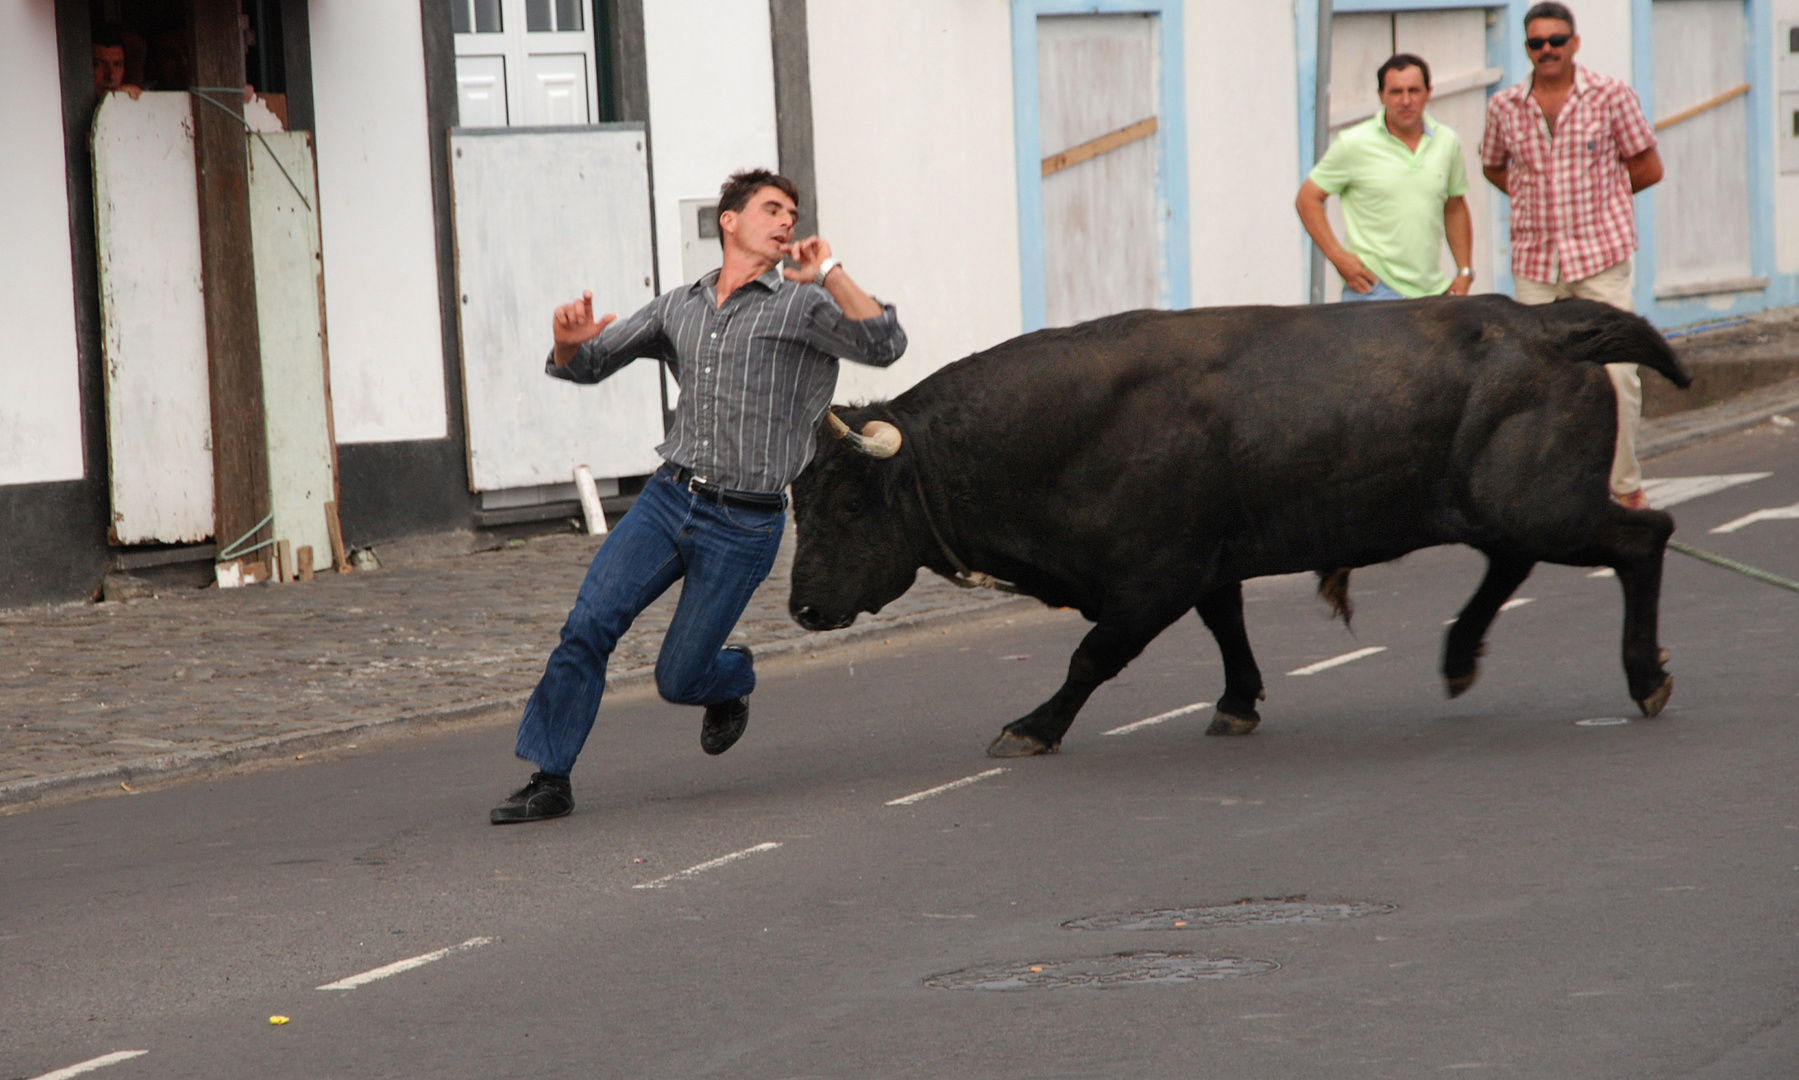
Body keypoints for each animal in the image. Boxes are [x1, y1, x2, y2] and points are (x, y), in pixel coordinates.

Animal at [787, 291, 1683, 756]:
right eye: (799, 501)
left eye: (849, 503)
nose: (799, 607)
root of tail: (1542, 321)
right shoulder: (1205, 564)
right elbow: (1226, 628)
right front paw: (1239, 702)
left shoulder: (1153, 577)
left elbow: (1090, 657)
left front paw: (1033, 726)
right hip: (1504, 509)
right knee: (1511, 565)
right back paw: (1460, 656)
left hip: (1541, 507)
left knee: (1644, 538)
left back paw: (1644, 676)